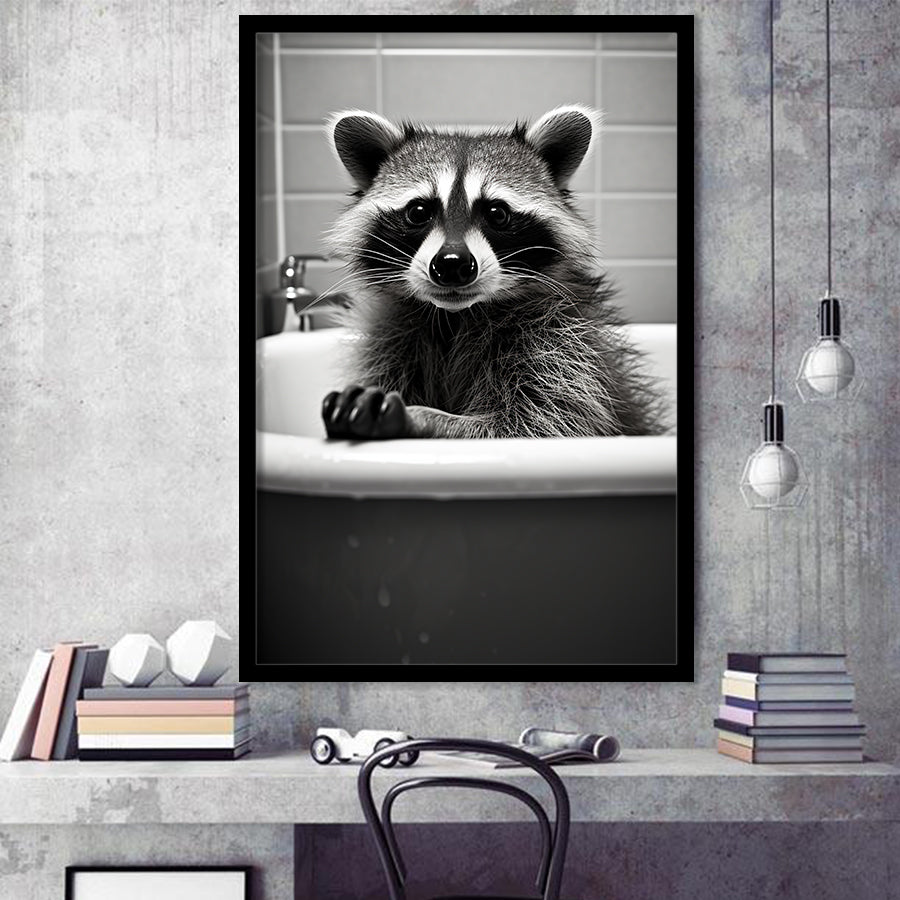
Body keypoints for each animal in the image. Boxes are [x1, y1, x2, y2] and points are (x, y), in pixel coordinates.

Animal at [320, 105, 665, 440]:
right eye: (418, 212)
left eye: (497, 213)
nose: (452, 264)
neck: (455, 317)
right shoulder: (385, 340)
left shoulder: (563, 348)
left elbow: (536, 423)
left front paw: (423, 418)